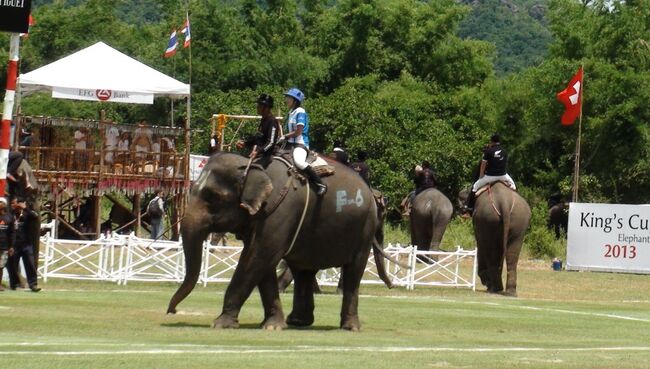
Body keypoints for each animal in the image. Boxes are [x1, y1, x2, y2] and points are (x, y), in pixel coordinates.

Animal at [167, 151, 390, 330]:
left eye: (212, 197)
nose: (172, 311)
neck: (251, 166)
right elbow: (261, 262)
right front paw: (273, 326)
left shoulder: (279, 213)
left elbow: (258, 257)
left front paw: (221, 323)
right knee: (304, 271)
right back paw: (298, 322)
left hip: (364, 230)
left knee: (353, 271)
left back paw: (350, 327)